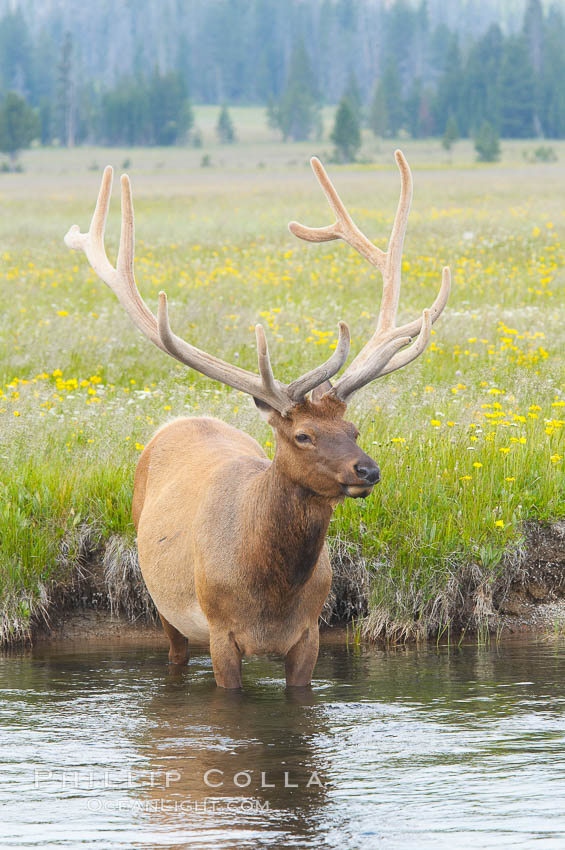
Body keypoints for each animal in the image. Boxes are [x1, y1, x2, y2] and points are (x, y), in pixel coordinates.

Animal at [65, 149, 450, 684]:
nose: (368, 469)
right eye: (303, 435)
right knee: (173, 653)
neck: (271, 594)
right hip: (164, 606)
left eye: (353, 429)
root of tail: (181, 421)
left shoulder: (309, 634)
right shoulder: (221, 633)